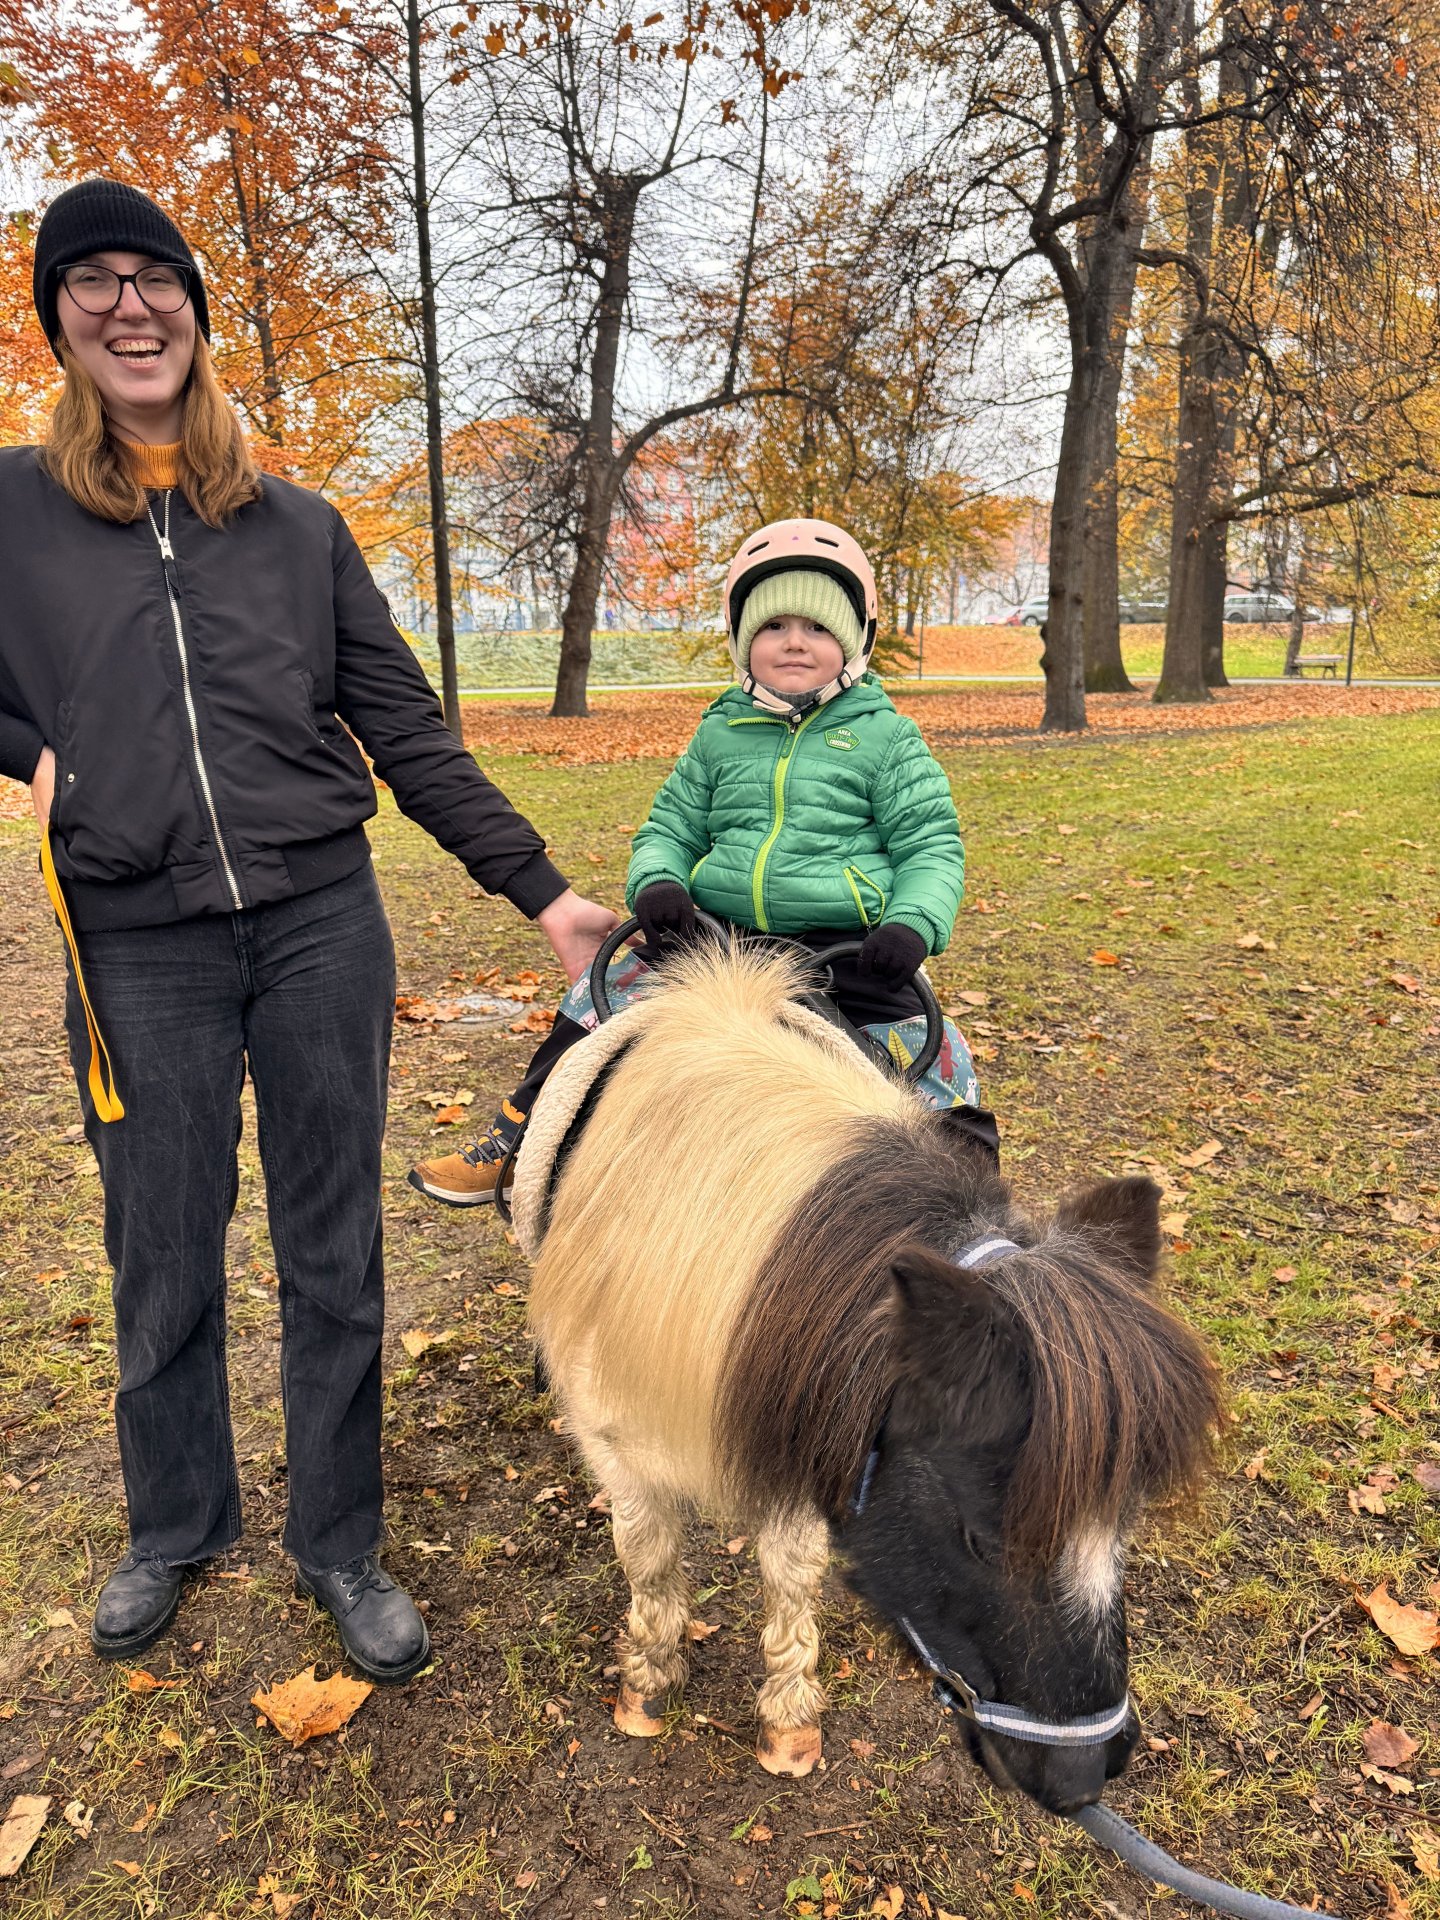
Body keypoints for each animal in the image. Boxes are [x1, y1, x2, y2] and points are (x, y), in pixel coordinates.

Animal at [521, 941, 1222, 1814]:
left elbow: (791, 1573)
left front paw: (787, 1719)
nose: (1084, 1777)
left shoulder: (803, 1422)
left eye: (1126, 1518)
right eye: (980, 1538)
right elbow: (649, 1559)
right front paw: (648, 1684)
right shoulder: (620, 1443)